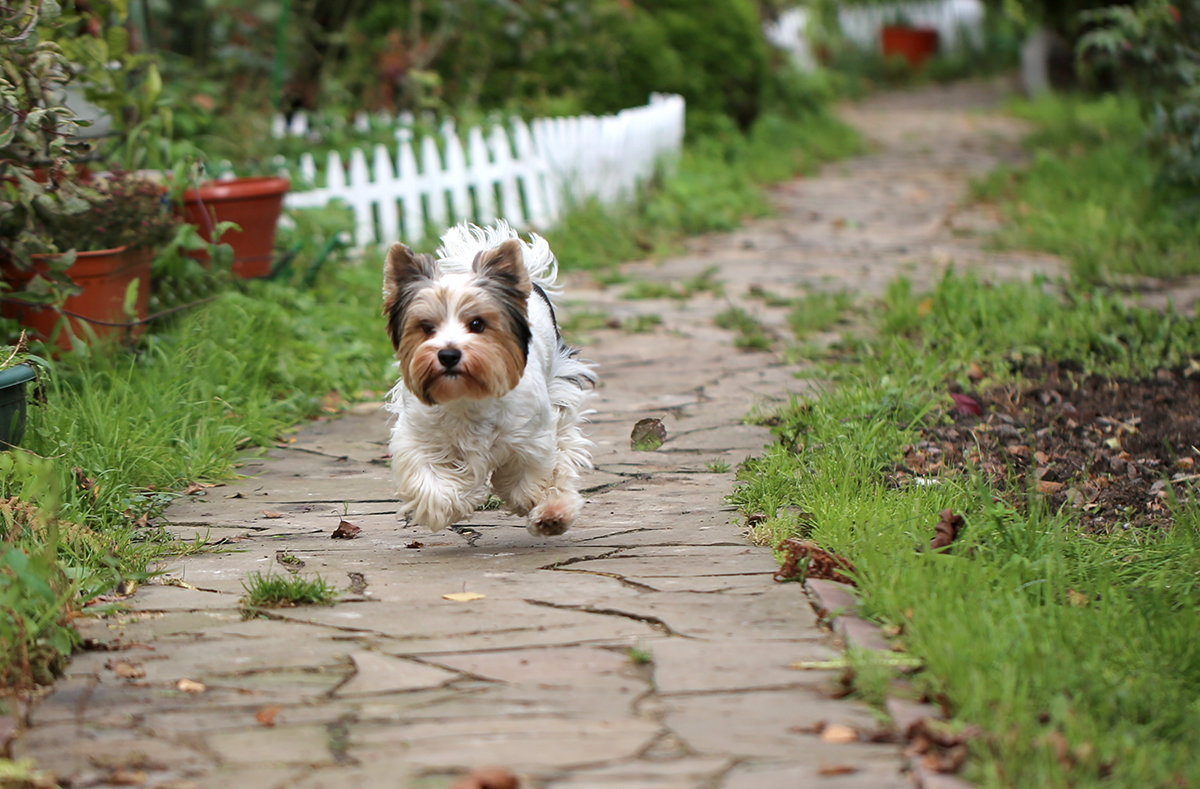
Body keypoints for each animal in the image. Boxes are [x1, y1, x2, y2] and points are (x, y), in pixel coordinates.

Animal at [379, 220, 595, 534]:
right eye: (427, 327)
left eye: (477, 324)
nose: (448, 354)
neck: (467, 395)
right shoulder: (418, 435)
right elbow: (433, 483)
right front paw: (461, 498)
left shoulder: (531, 437)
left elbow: (528, 478)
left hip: (559, 390)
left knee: (564, 454)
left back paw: (554, 511)